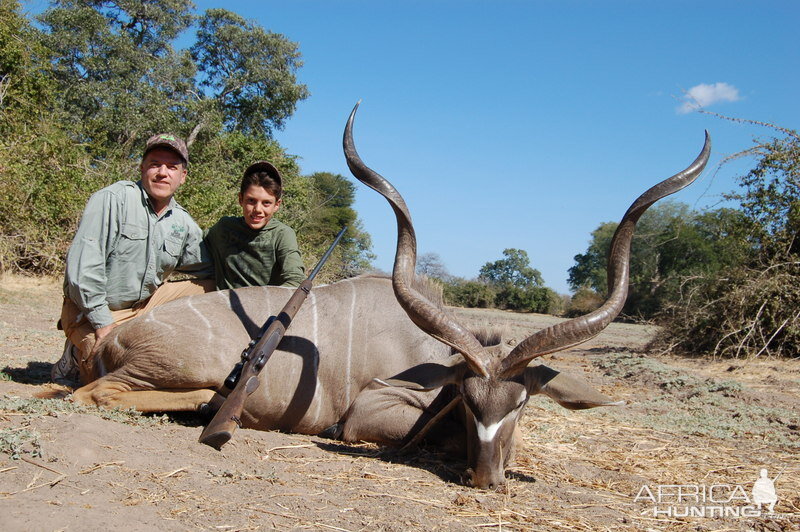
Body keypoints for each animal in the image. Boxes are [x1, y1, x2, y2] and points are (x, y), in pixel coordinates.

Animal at [67, 107, 708, 490]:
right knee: (95, 395)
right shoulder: (368, 414)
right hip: (161, 374)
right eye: (467, 401)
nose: (487, 480)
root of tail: (115, 337)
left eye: (521, 403)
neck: (424, 350)